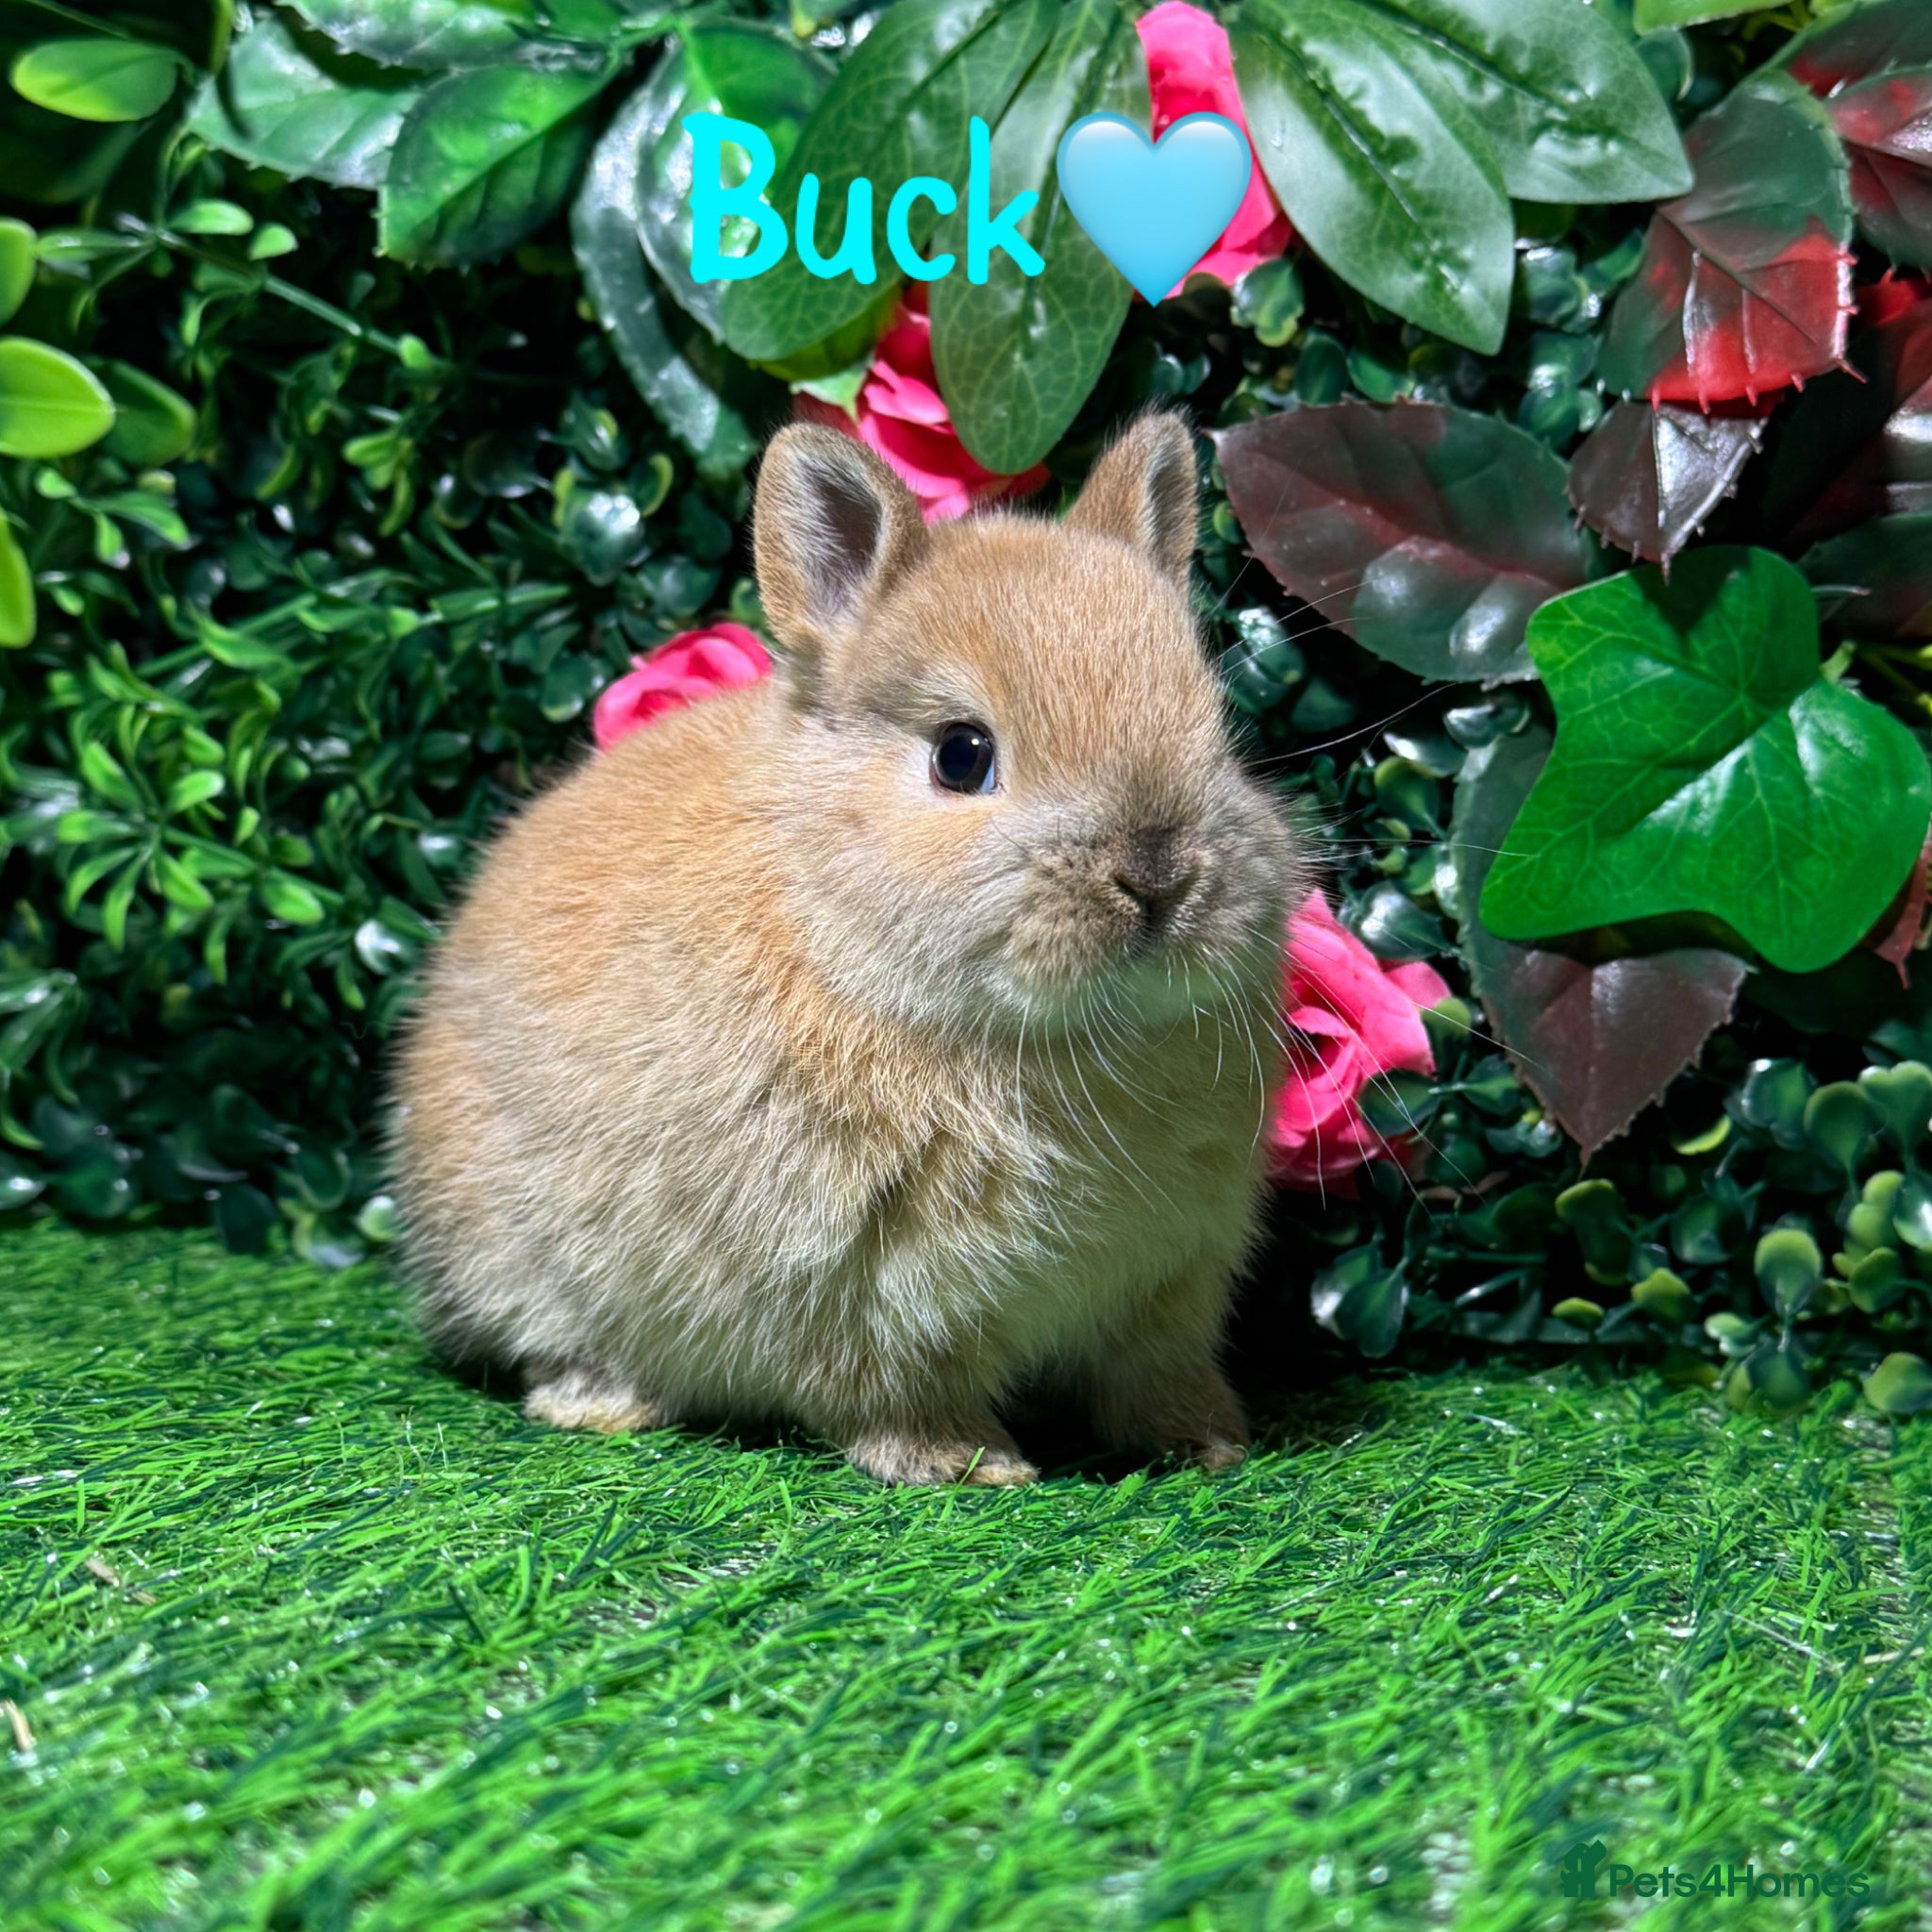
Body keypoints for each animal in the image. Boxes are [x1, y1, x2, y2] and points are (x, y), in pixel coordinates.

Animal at [391, 412, 1303, 1485]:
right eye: (961, 755)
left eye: (1219, 732)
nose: (1157, 877)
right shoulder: (865, 1290)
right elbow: (895, 1389)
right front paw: (969, 1464)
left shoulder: (1164, 1288)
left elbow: (1153, 1375)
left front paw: (1208, 1444)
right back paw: (600, 1404)